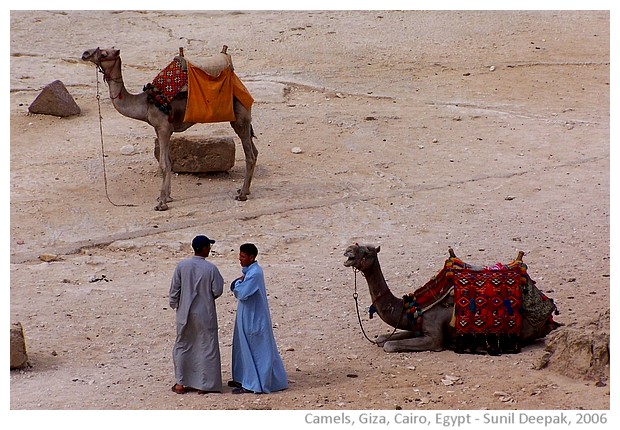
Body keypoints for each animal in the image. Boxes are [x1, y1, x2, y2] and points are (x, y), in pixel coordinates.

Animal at [82, 46, 256, 211]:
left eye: (104, 53)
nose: (85, 54)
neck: (146, 103)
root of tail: (243, 88)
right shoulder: (158, 128)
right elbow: (169, 161)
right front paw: (167, 197)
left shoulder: (164, 128)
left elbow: (164, 163)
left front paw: (162, 203)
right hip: (242, 120)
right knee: (254, 150)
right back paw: (245, 190)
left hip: (240, 117)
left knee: (250, 154)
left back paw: (242, 194)